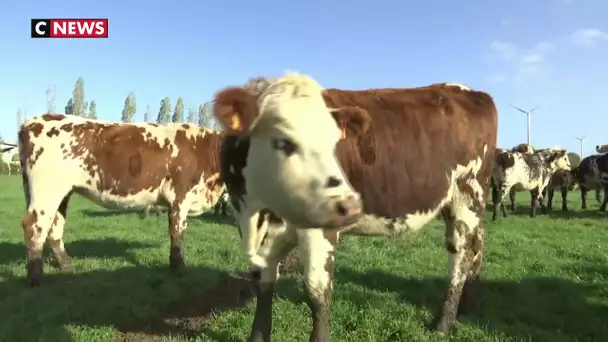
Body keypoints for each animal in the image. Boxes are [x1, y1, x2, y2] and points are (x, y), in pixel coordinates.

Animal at [18, 113, 226, 284]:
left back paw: (66, 266)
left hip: (59, 193)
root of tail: (33, 121)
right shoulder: (180, 196)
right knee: (34, 226)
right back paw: (35, 278)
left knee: (54, 227)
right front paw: (179, 268)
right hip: (47, 191)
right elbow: (178, 233)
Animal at [214, 73, 498, 340]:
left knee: (461, 255)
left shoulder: (320, 232)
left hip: (467, 196)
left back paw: (444, 323)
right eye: (284, 141)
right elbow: (263, 285)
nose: (350, 205)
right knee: (477, 246)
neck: (263, 215)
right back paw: (467, 307)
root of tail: (471, 92)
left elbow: (317, 292)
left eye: (333, 143)